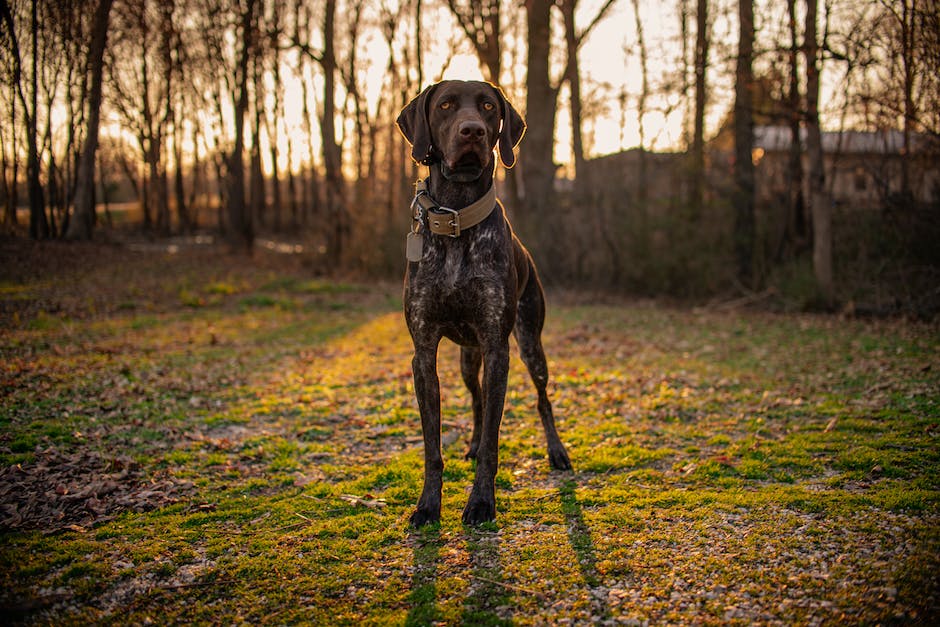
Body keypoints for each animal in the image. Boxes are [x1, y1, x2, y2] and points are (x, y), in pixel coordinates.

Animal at [394, 79, 568, 528]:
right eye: (445, 106)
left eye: (489, 107)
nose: (471, 130)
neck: (456, 215)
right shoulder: (424, 354)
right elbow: (433, 447)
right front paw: (428, 505)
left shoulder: (497, 348)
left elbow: (494, 439)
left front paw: (481, 502)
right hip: (467, 360)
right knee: (476, 400)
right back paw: (470, 444)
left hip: (528, 345)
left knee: (542, 399)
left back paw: (557, 451)